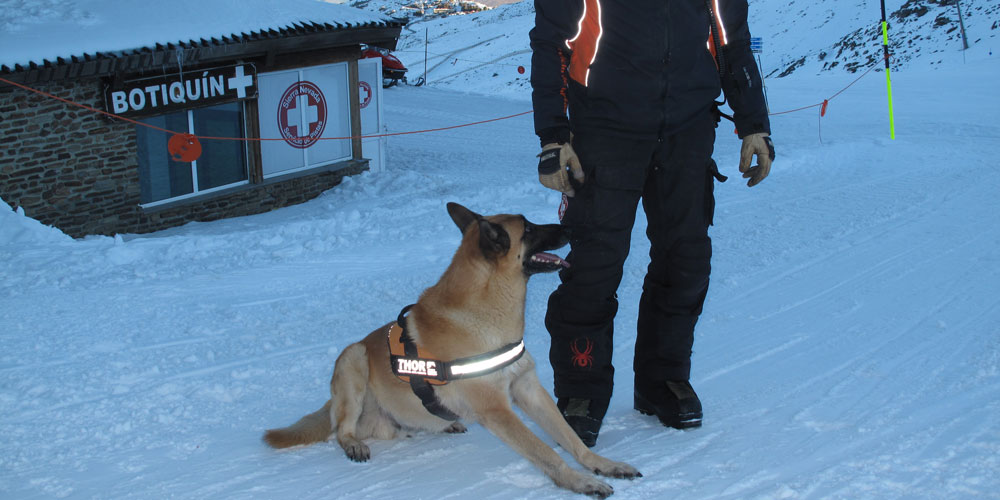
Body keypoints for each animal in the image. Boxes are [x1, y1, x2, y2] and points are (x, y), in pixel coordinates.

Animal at [264, 202, 640, 496]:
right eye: (529, 228)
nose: (574, 225)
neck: (487, 307)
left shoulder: (528, 388)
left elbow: (569, 437)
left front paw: (601, 465)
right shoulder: (498, 409)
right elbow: (546, 452)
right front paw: (580, 483)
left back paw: (442, 424)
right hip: (353, 357)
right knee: (342, 430)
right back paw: (355, 442)